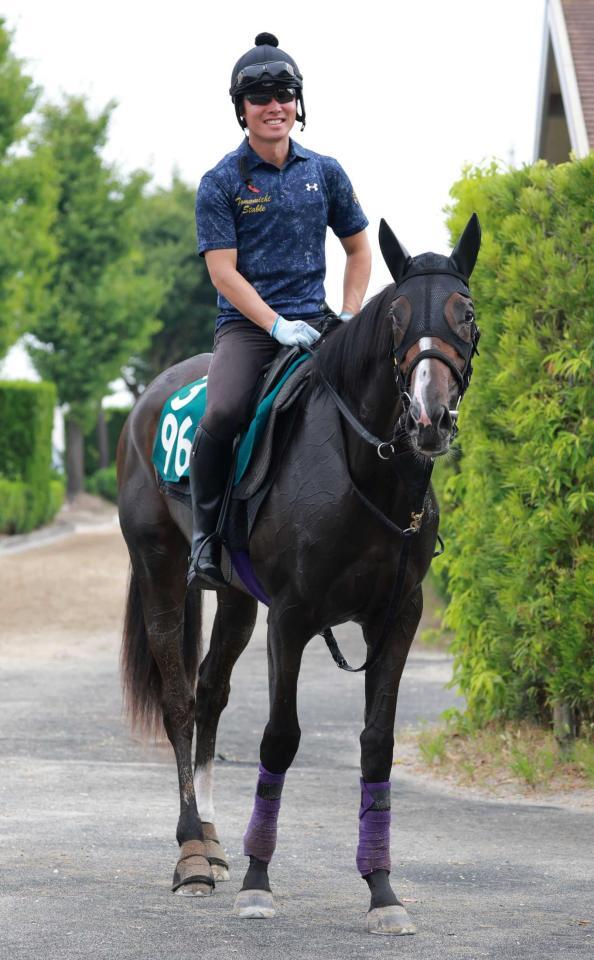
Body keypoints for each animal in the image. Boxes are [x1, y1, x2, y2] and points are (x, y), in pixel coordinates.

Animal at [117, 214, 480, 932]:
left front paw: (382, 890)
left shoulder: (397, 618)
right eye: (396, 316)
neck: (362, 472)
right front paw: (259, 883)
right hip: (160, 571)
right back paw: (191, 854)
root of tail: (145, 402)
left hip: (234, 599)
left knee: (209, 692)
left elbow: (377, 743)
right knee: (179, 702)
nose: (430, 415)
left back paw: (213, 839)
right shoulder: (291, 617)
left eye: (467, 312)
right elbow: (280, 738)